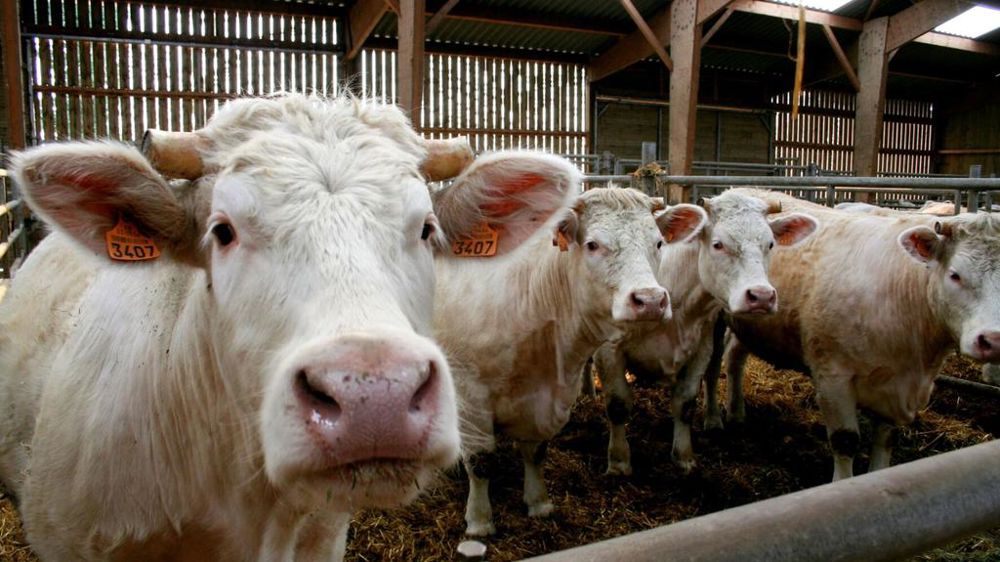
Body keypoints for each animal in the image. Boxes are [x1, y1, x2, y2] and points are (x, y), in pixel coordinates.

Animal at [434, 186, 709, 536]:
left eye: (658, 242)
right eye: (592, 244)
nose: (650, 300)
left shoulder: (547, 397)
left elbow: (536, 451)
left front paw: (539, 503)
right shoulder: (471, 393)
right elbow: (481, 461)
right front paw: (480, 521)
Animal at [593, 190, 818, 475]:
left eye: (770, 245)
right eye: (718, 244)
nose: (762, 296)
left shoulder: (701, 346)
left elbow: (686, 402)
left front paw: (684, 457)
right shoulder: (608, 350)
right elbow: (618, 405)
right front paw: (619, 462)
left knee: (715, 371)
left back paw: (713, 419)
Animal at [715, 188, 1000, 481]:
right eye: (955, 275)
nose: (993, 340)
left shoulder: (895, 386)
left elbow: (885, 439)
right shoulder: (832, 377)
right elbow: (845, 440)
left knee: (735, 356)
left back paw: (736, 413)